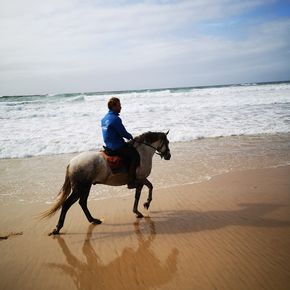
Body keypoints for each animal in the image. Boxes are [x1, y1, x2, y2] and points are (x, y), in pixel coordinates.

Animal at [42, 131, 171, 236]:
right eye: (167, 142)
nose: (168, 156)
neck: (142, 152)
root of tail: (71, 163)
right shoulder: (140, 179)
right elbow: (147, 188)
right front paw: (145, 205)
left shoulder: (141, 179)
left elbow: (145, 189)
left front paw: (140, 209)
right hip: (80, 188)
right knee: (67, 204)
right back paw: (58, 228)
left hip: (86, 187)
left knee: (82, 203)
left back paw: (93, 220)